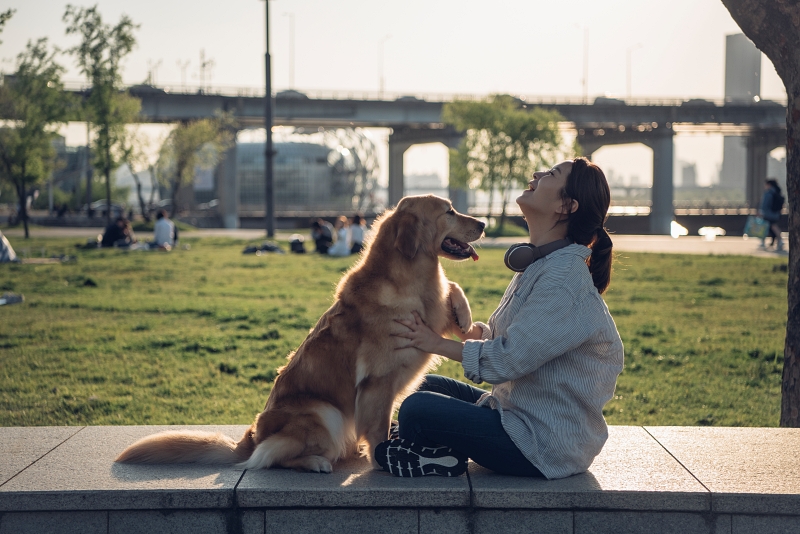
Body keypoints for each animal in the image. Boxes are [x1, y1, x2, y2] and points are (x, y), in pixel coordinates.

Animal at [115, 196, 484, 474]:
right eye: (449, 211)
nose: (482, 224)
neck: (411, 279)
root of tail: (250, 436)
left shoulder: (431, 317)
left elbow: (453, 290)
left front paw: (468, 321)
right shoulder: (376, 384)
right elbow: (378, 429)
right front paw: (383, 460)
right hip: (325, 413)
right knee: (269, 457)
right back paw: (316, 462)